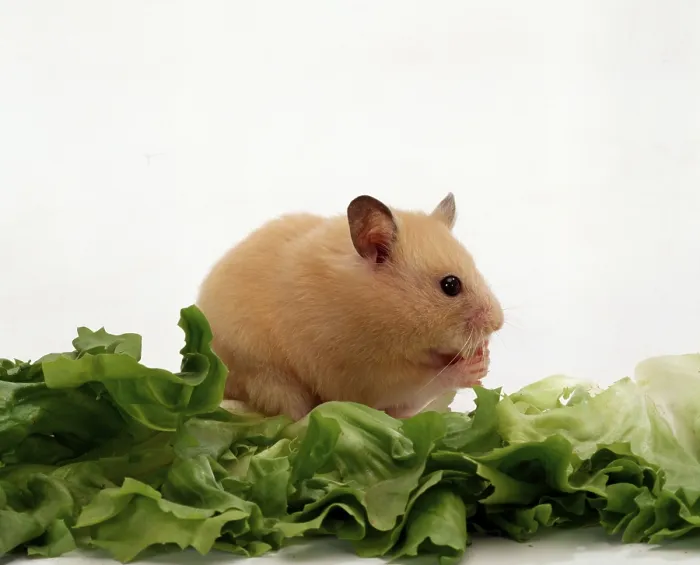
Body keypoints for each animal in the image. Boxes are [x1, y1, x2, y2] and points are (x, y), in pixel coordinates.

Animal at [197, 193, 504, 420]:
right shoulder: (365, 376)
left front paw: (484, 356)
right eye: (450, 285)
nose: (498, 324)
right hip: (268, 379)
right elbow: (425, 382)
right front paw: (475, 367)